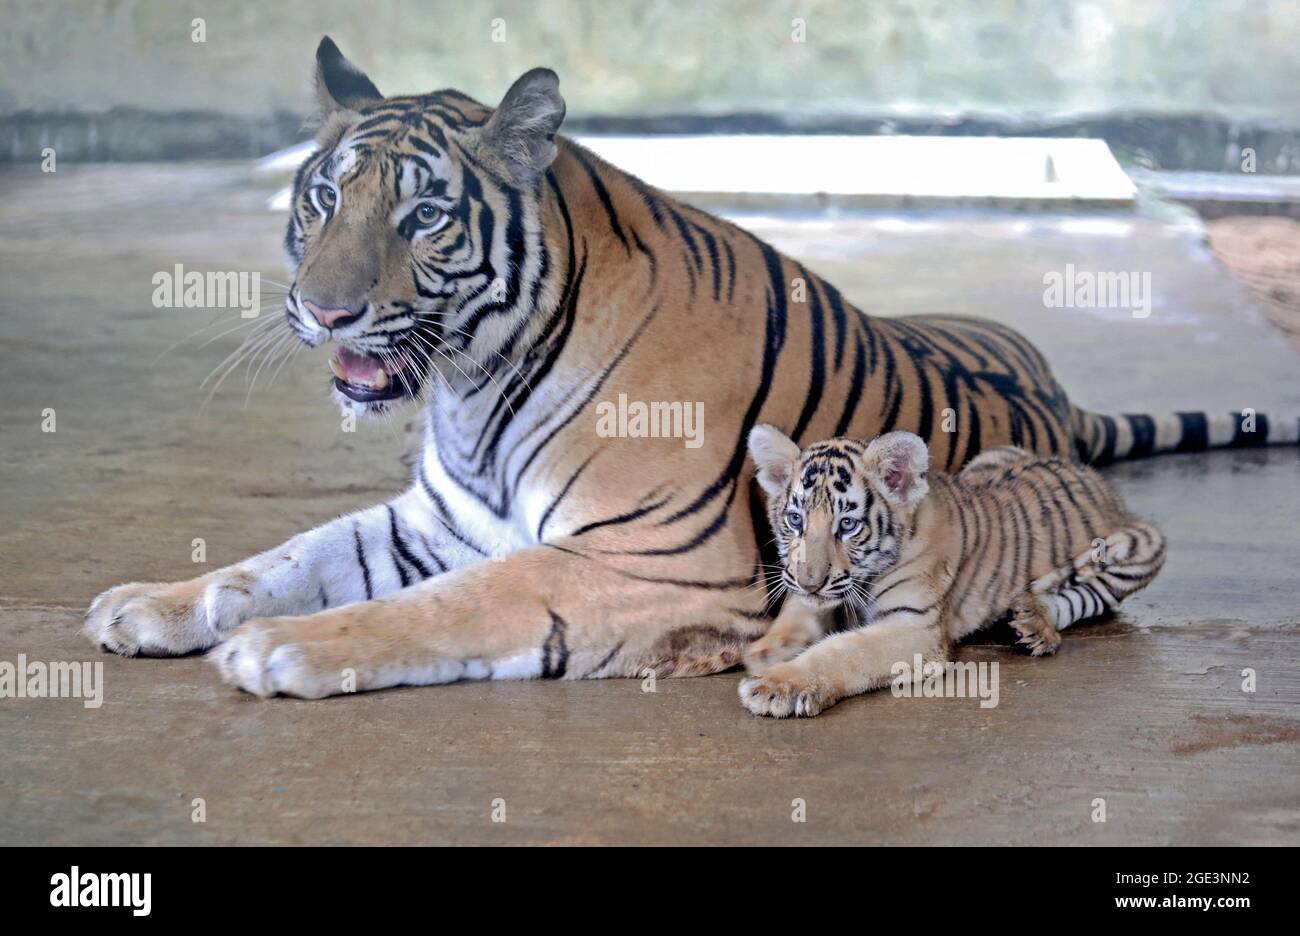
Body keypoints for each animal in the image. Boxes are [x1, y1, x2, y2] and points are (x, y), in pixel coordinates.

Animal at [86, 36, 1294, 696]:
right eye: (323, 199)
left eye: (425, 215)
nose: (321, 308)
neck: (472, 385)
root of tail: (1063, 397)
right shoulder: (436, 520)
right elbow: (285, 557)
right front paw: (153, 603)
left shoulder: (657, 562)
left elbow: (445, 606)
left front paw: (277, 650)